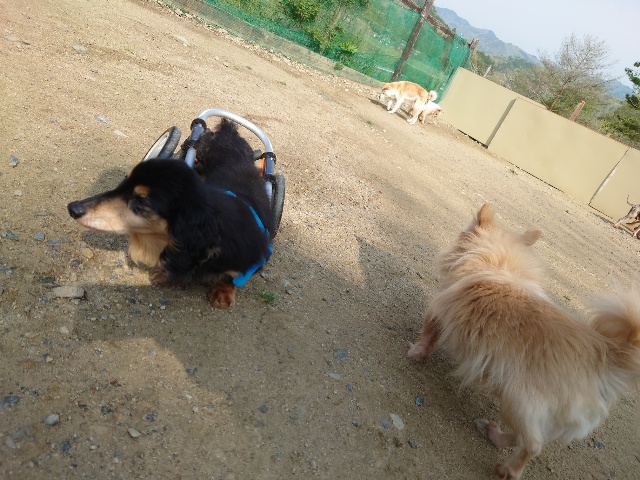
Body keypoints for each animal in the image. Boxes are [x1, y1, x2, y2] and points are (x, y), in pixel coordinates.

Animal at [67, 119, 272, 308]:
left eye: (141, 200)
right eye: (122, 183)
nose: (72, 208)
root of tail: (229, 132)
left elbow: (232, 277)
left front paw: (223, 292)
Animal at [408, 204, 640, 479]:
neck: (498, 262)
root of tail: (605, 355)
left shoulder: (439, 310)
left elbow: (428, 335)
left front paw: (416, 353)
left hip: (516, 400)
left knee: (532, 444)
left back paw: (508, 469)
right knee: (523, 437)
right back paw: (495, 435)